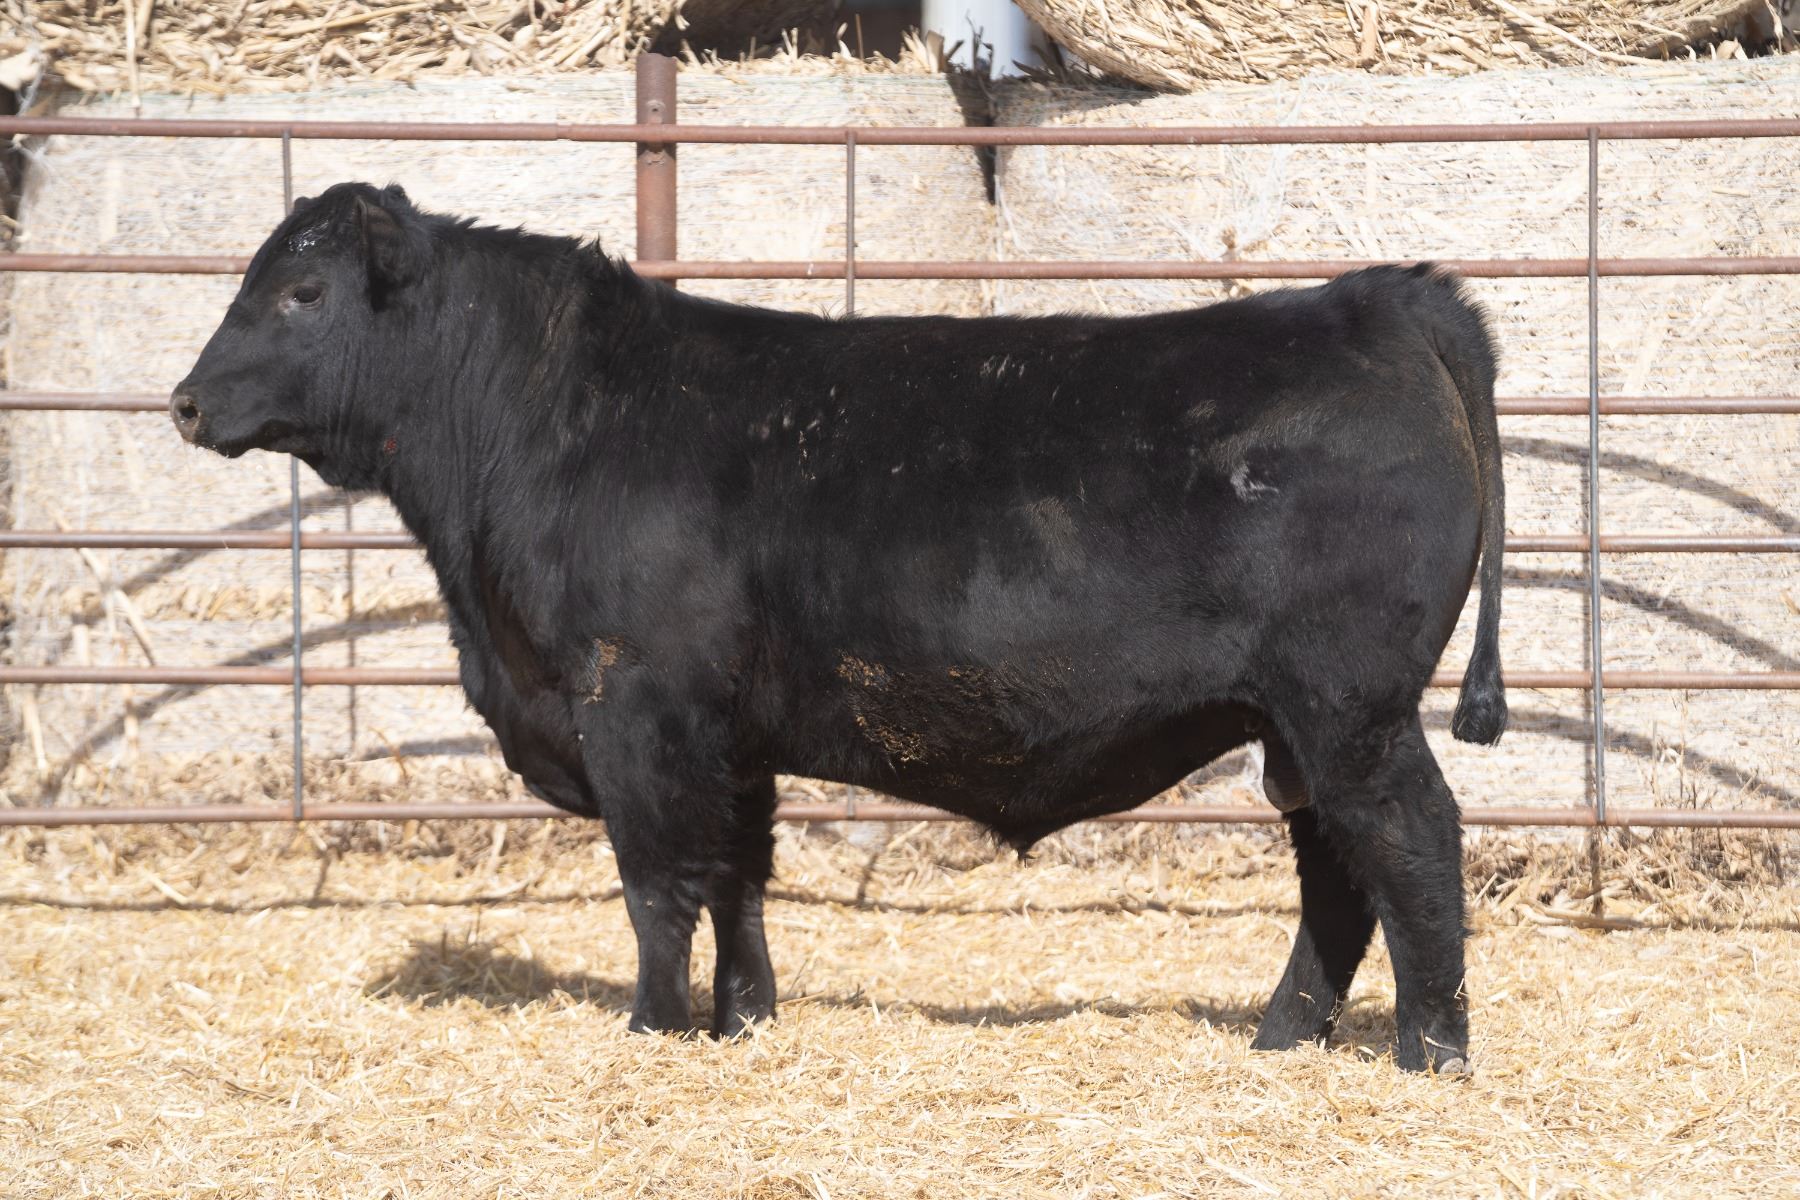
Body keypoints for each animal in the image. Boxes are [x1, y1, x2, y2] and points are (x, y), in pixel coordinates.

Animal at [171, 182, 1506, 1074]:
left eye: (301, 293)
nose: (183, 401)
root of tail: (1380, 300)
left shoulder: (637, 709)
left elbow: (660, 881)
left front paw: (653, 1030)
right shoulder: (728, 735)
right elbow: (740, 877)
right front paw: (743, 1021)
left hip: (1352, 708)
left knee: (1411, 843)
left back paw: (1432, 1051)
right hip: (1297, 724)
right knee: (1338, 873)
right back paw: (1284, 1040)